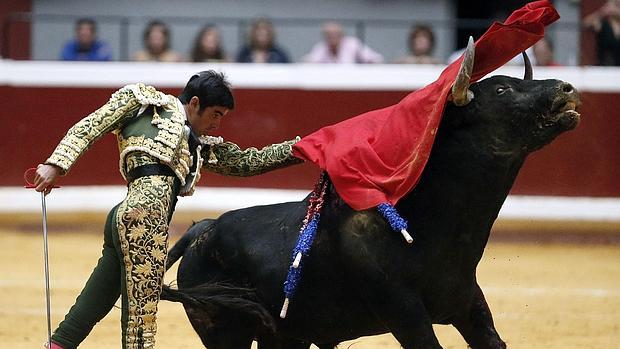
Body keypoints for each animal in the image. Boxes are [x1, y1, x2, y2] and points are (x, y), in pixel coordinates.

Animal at [161, 68, 580, 348]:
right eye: (504, 88)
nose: (566, 88)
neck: (427, 224)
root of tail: (204, 228)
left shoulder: (470, 306)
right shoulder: (406, 315)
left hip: (284, 334)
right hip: (223, 329)